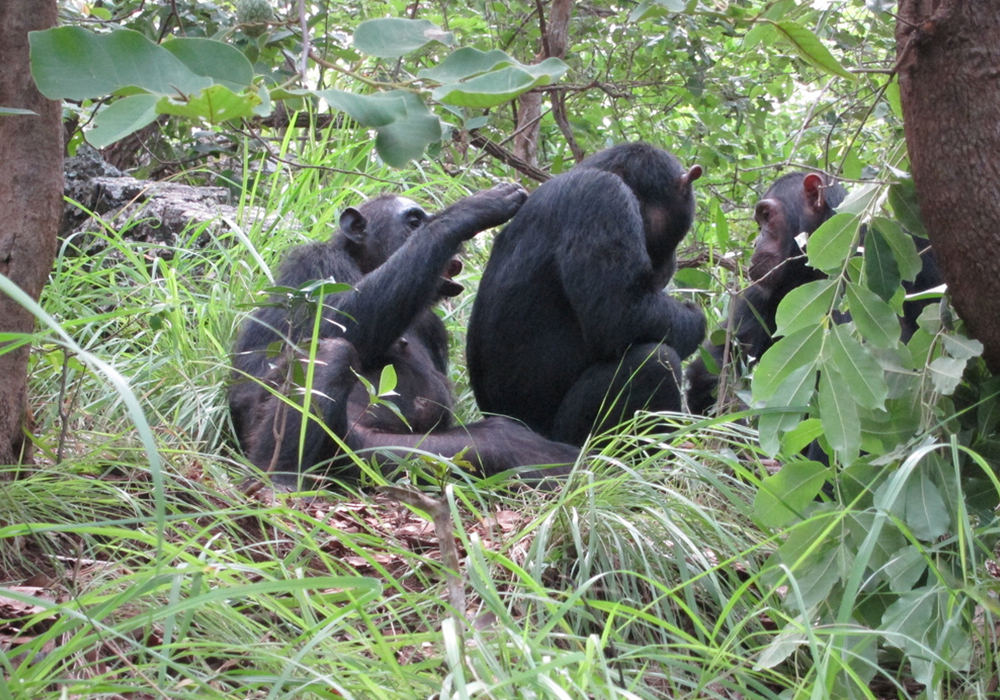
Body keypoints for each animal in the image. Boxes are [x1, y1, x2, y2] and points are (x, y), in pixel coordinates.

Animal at [229, 183, 580, 484]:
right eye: (414, 222)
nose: (460, 248)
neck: (364, 265)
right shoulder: (313, 266)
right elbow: (335, 323)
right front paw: (469, 211)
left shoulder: (434, 327)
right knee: (332, 351)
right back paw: (278, 479)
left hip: (388, 460)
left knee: (504, 441)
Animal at [466, 142, 708, 446]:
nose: (675, 261)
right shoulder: (605, 198)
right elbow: (622, 313)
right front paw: (696, 318)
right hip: (568, 435)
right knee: (654, 362)